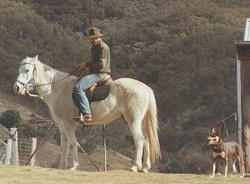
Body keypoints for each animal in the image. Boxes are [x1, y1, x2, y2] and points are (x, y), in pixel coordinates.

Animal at [12, 55, 161, 172]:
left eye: (27, 70)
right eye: (19, 70)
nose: (16, 88)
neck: (58, 89)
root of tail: (145, 88)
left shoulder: (69, 125)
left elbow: (72, 144)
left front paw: (73, 166)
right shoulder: (62, 126)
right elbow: (64, 145)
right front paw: (62, 166)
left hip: (133, 120)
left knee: (140, 140)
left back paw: (135, 166)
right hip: (140, 122)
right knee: (147, 140)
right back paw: (145, 167)